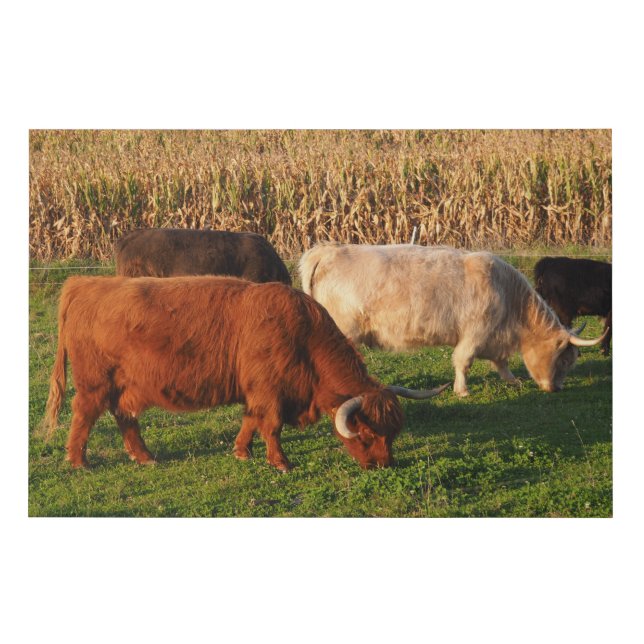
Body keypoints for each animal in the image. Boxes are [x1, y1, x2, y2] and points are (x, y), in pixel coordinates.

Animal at [41, 276, 448, 471]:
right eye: (365, 434)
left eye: (392, 434)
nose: (383, 465)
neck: (303, 337)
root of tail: (85, 284)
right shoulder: (269, 391)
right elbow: (271, 425)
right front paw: (280, 462)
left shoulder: (259, 391)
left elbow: (251, 420)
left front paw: (242, 451)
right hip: (95, 382)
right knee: (84, 414)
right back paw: (78, 461)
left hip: (124, 385)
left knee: (125, 416)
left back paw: (144, 457)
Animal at [299, 243, 609, 397]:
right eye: (564, 360)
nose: (556, 389)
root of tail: (327, 251)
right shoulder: (474, 333)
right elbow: (463, 361)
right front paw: (462, 391)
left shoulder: (493, 338)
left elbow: (501, 362)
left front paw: (513, 380)